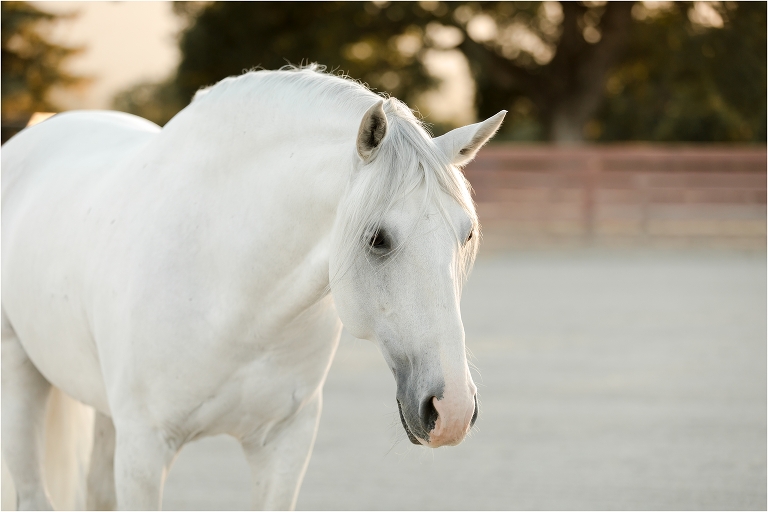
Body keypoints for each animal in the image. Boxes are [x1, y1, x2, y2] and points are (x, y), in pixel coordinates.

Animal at [1, 65, 505, 510]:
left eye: (466, 234)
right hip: (21, 378)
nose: (452, 410)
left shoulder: (285, 442)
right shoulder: (144, 450)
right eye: (377, 238)